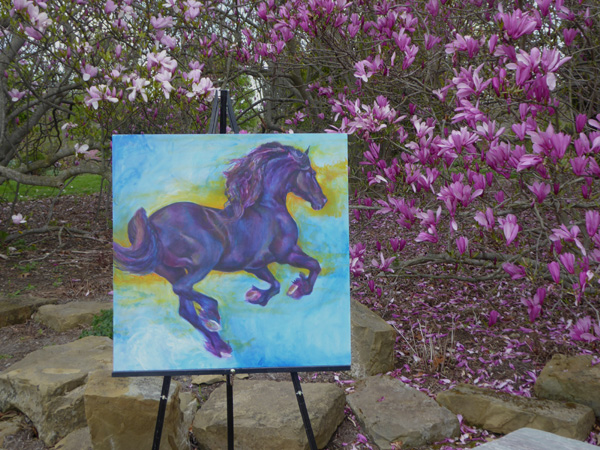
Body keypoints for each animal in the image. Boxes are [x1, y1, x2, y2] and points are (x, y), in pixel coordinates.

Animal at [112, 142, 328, 356]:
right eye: (312, 173)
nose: (323, 201)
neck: (270, 210)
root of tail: (152, 222)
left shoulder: (256, 265)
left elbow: (279, 282)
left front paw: (260, 295)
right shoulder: (285, 254)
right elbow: (312, 266)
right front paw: (299, 289)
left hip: (173, 270)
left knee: (186, 308)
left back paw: (220, 346)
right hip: (204, 262)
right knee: (184, 290)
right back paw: (212, 315)